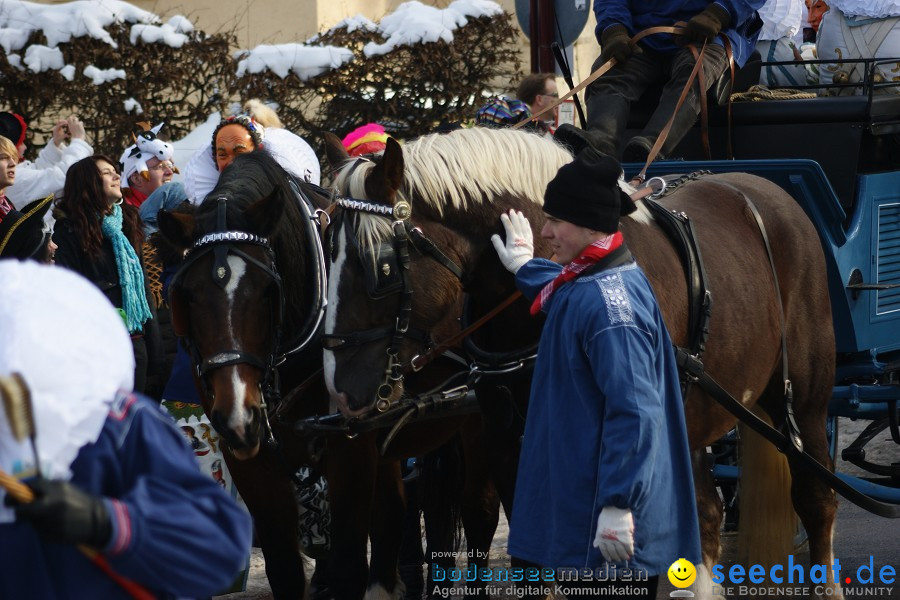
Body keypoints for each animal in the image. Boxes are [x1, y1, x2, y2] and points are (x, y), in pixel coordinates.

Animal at [326, 129, 844, 596]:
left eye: (381, 268)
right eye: (326, 250)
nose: (342, 394)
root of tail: (755, 185)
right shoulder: (509, 444)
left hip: (805, 397)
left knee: (815, 496)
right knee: (707, 515)